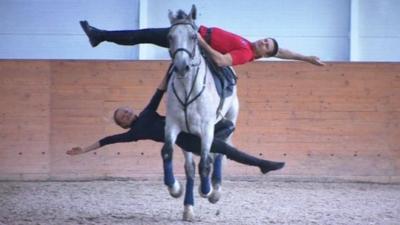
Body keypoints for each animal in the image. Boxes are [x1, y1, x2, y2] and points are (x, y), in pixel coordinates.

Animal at [161, 5, 239, 221]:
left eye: (193, 36)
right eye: (170, 36)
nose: (182, 66)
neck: (188, 90)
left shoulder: (206, 129)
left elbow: (205, 163)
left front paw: (207, 190)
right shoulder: (174, 126)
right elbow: (172, 156)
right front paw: (178, 193)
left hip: (230, 117)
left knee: (219, 153)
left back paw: (215, 190)